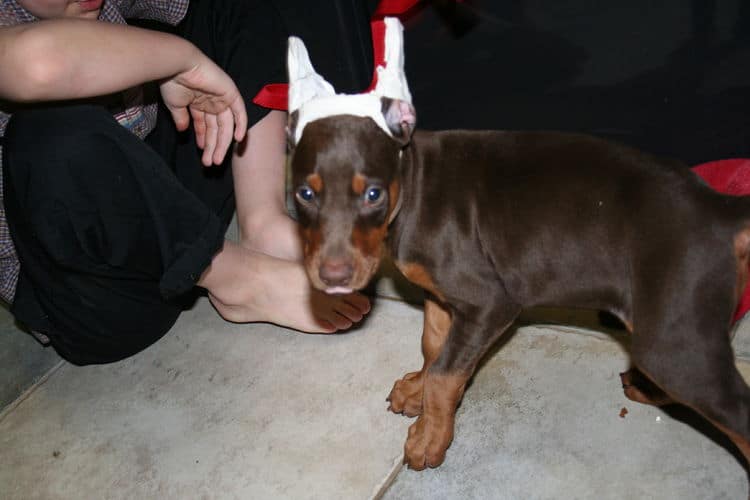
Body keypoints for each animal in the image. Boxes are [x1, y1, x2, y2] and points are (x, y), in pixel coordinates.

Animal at [290, 98, 750, 484]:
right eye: (305, 193)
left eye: (373, 193)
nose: (332, 275)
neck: (412, 183)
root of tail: (719, 209)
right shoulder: (442, 297)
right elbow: (434, 347)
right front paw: (416, 389)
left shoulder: (489, 303)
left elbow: (446, 374)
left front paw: (429, 436)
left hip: (670, 345)